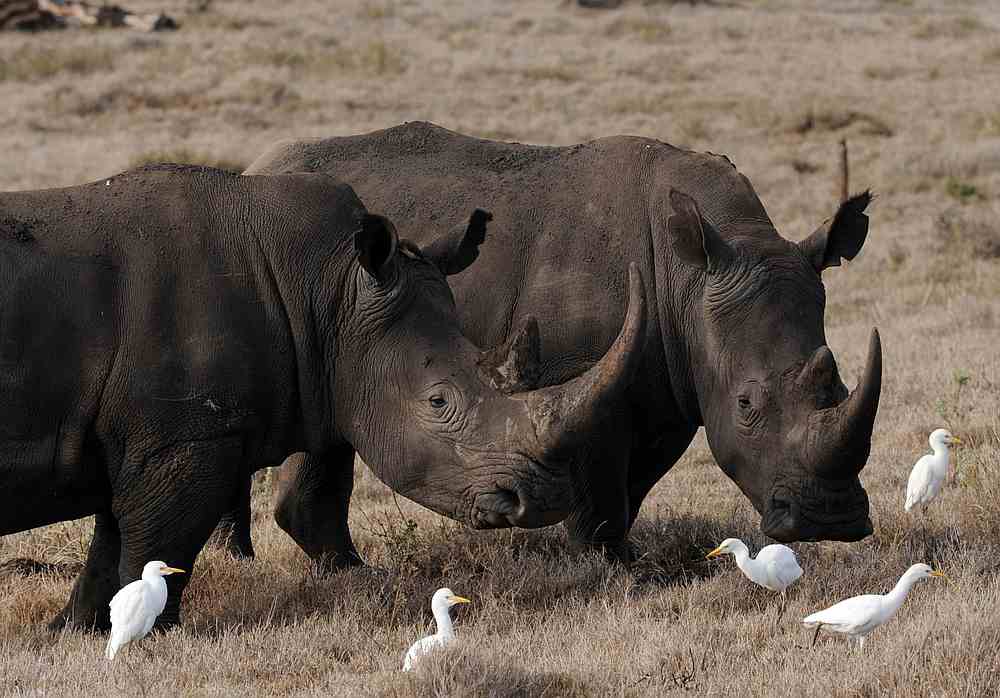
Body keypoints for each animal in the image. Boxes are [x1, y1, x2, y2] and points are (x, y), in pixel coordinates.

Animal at [0, 164, 645, 629]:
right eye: (439, 402)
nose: (547, 498)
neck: (325, 288)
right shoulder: (187, 436)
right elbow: (155, 546)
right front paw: (148, 636)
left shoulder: (140, 436)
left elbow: (112, 545)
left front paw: (75, 631)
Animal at [239, 122, 883, 563]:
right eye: (747, 404)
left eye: (839, 382)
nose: (831, 519)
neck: (694, 276)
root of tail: (255, 167)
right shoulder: (583, 374)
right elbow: (600, 485)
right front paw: (612, 567)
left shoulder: (671, 385)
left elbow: (631, 484)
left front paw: (620, 556)